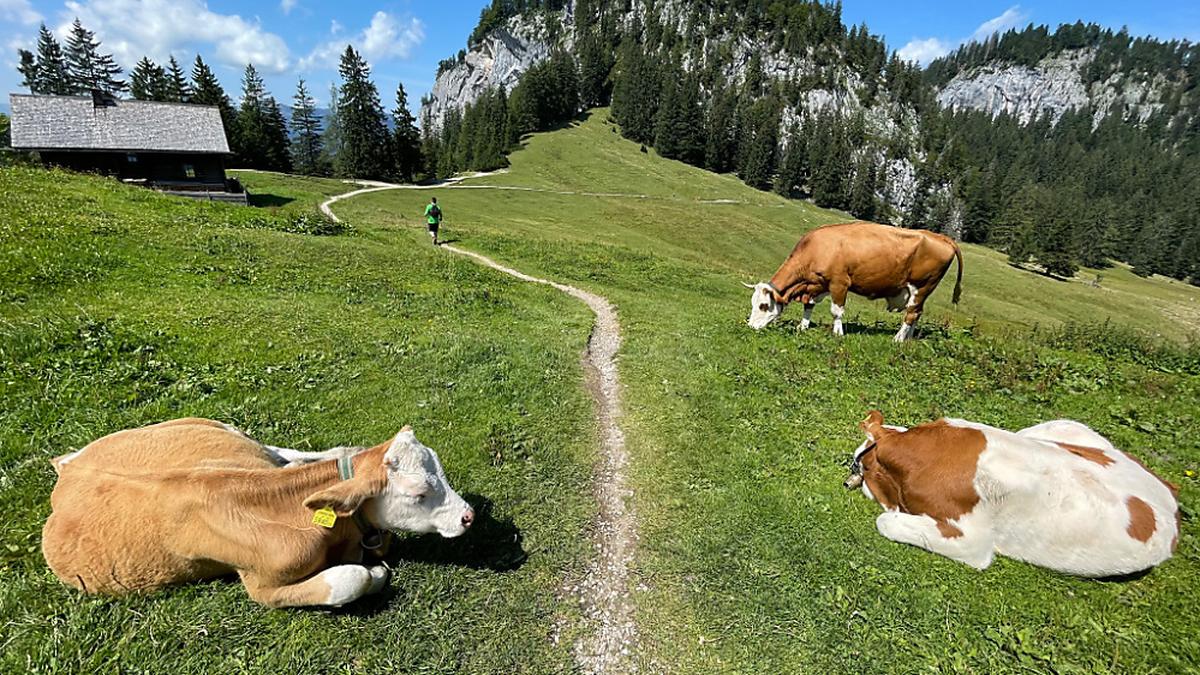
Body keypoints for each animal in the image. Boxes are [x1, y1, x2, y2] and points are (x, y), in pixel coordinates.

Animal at [42, 415, 472, 605]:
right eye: (419, 493)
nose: (468, 516)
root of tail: (69, 468)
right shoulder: (261, 586)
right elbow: (351, 578)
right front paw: (376, 573)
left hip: (226, 431)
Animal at [739, 220, 964, 338]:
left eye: (763, 305)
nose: (751, 326)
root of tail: (941, 237)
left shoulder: (839, 283)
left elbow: (836, 311)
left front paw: (838, 333)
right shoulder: (816, 284)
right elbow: (809, 305)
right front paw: (802, 326)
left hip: (922, 286)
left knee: (911, 313)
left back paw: (898, 339)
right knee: (917, 313)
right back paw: (908, 338)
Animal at [844, 408, 1180, 576]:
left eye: (864, 465)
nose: (849, 479)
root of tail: (1168, 493)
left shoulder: (972, 542)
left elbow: (885, 522)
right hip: (1062, 427)